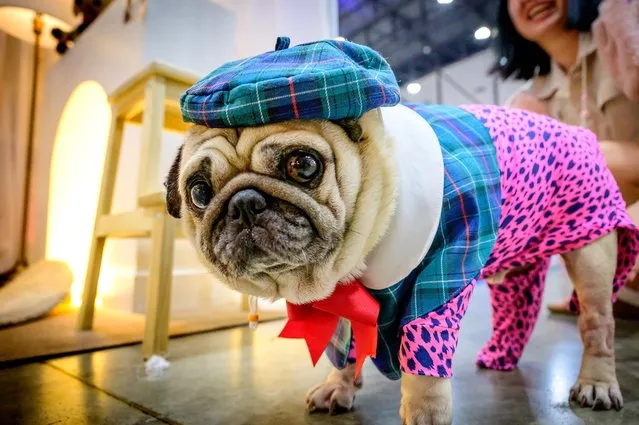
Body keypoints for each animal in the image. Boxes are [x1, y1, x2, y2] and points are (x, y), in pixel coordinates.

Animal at [162, 101, 636, 422]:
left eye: (304, 165)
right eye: (199, 192)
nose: (244, 203)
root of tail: (578, 130)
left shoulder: (438, 281)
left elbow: (424, 363)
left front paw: (425, 411)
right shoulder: (340, 299)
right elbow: (345, 346)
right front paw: (339, 386)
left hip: (590, 250)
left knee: (597, 324)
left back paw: (596, 383)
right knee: (518, 306)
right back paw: (499, 356)